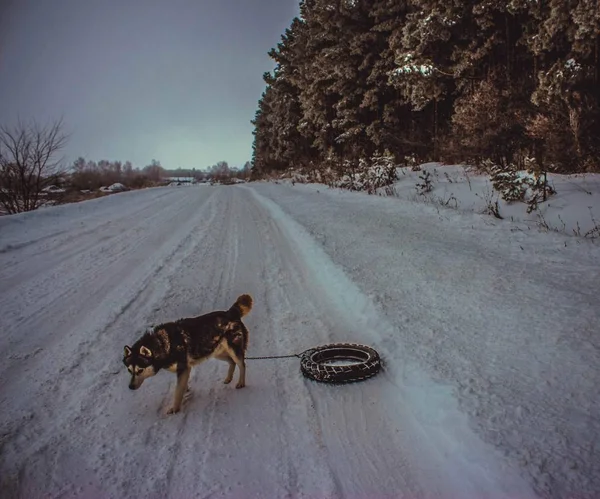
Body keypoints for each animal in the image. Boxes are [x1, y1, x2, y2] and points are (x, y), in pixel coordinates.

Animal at [123, 292, 252, 414]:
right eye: (129, 370)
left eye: (140, 370)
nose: (130, 387)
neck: (162, 344)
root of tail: (230, 312)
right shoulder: (182, 369)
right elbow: (182, 387)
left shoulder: (183, 369)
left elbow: (178, 391)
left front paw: (175, 408)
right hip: (216, 352)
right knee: (232, 362)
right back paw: (228, 378)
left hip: (233, 349)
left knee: (242, 364)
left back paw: (241, 382)